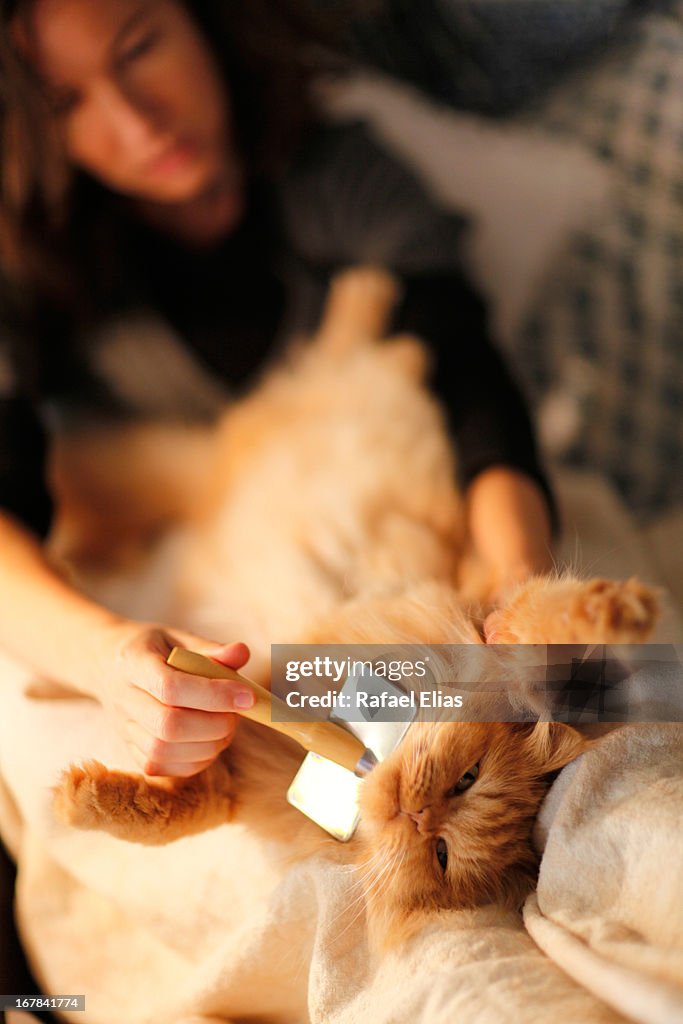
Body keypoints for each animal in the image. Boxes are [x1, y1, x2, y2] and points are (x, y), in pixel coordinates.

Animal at [50, 268, 659, 946]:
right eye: (468, 778)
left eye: (441, 852)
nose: (418, 814)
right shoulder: (483, 617)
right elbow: (545, 620)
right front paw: (622, 610)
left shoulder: (238, 769)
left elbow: (179, 808)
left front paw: (83, 797)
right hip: (251, 435)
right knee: (359, 348)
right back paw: (365, 290)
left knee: (381, 351)